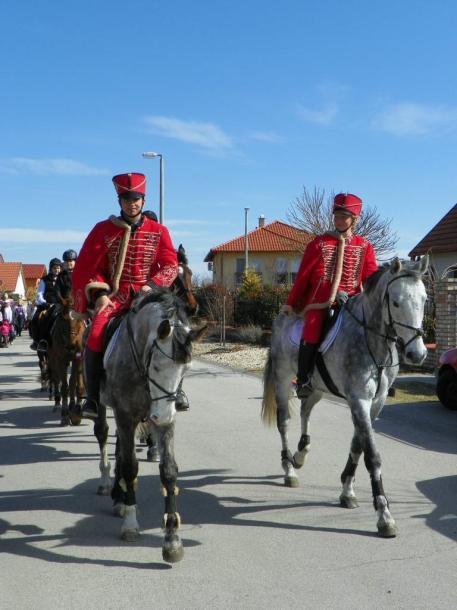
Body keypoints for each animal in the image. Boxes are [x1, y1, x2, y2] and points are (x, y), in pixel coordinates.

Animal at [260, 254, 428, 536]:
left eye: (425, 300)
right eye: (395, 301)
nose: (417, 354)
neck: (372, 340)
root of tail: (282, 316)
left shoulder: (375, 403)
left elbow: (357, 446)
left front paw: (347, 490)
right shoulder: (358, 400)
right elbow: (372, 455)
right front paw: (384, 514)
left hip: (316, 387)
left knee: (305, 410)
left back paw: (301, 453)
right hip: (283, 380)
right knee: (284, 422)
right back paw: (290, 469)